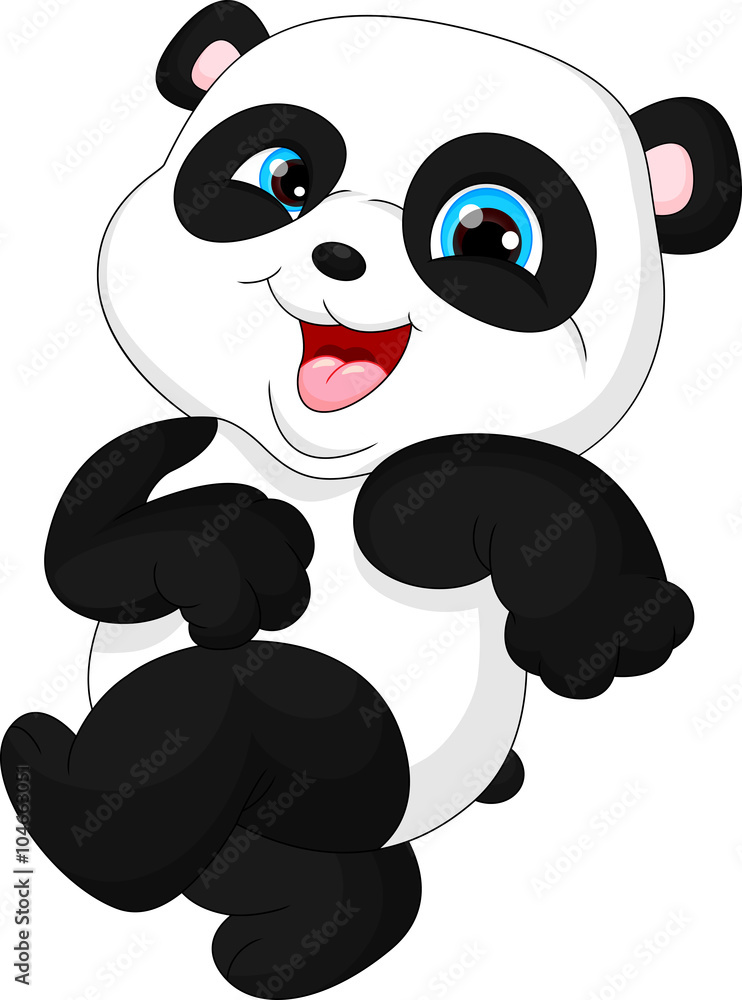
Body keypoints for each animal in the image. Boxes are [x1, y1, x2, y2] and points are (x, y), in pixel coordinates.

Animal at [2, 4, 739, 998]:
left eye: (490, 234)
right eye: (284, 181)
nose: (338, 253)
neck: (315, 470)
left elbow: (436, 500)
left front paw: (597, 624)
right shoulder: (196, 453)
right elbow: (87, 562)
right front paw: (231, 546)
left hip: (344, 769)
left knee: (246, 748)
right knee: (222, 765)